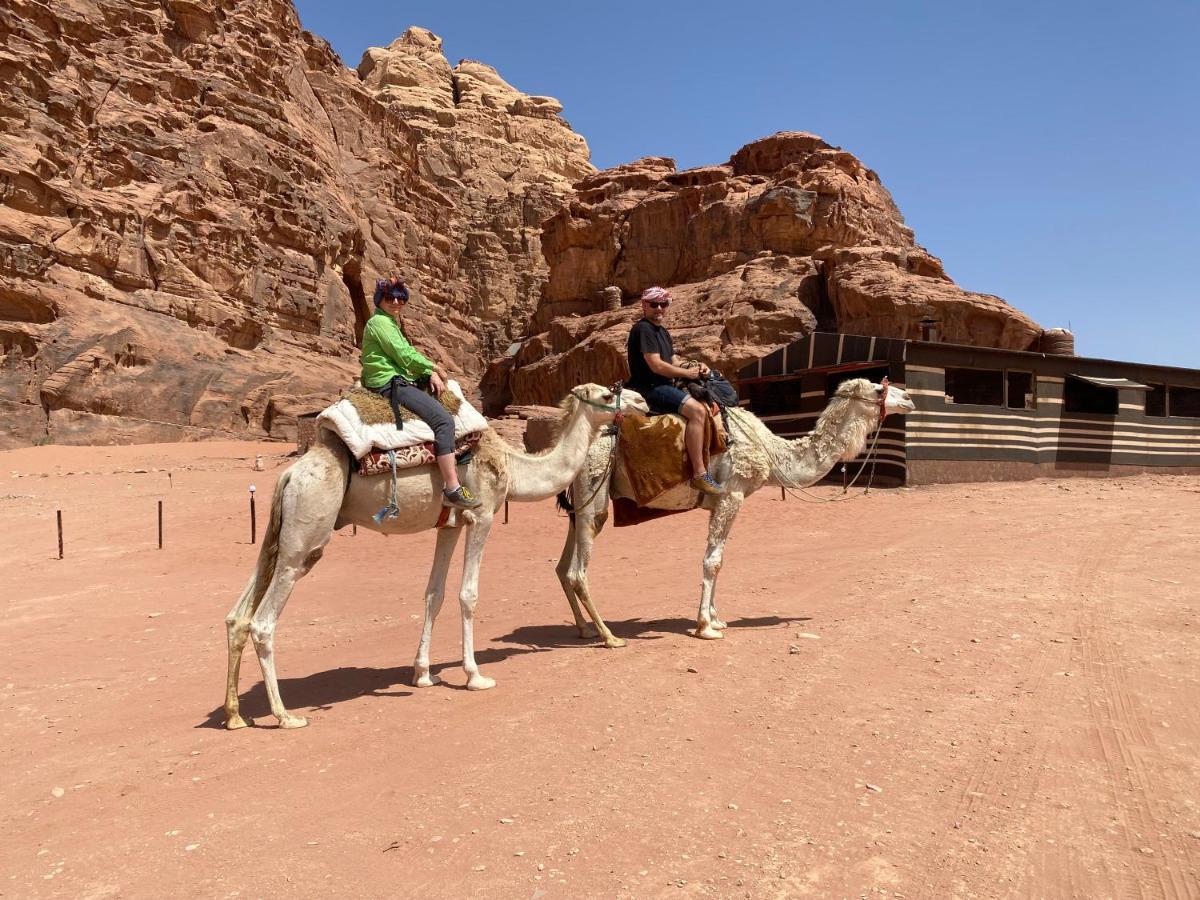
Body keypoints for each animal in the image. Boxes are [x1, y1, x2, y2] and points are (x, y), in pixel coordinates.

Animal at [224, 384, 648, 729]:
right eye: (608, 394)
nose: (642, 402)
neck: (513, 466)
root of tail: (290, 474)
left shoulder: (450, 524)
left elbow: (434, 594)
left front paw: (423, 673)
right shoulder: (482, 515)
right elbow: (468, 594)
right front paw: (475, 676)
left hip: (280, 536)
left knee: (237, 616)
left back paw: (234, 715)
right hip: (307, 534)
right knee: (263, 622)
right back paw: (284, 715)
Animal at [556, 379, 912, 648]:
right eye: (879, 390)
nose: (909, 398)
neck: (771, 452)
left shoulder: (720, 502)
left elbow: (720, 560)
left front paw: (717, 619)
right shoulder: (732, 495)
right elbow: (712, 561)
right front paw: (705, 627)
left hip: (579, 506)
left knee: (561, 568)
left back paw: (584, 629)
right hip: (594, 493)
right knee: (577, 571)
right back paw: (608, 636)